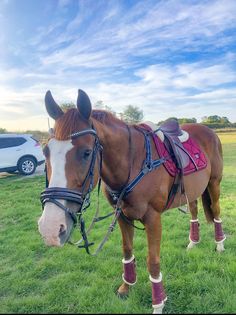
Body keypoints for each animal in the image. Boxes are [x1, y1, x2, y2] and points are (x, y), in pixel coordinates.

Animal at [37, 88, 226, 314]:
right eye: (46, 152)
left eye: (87, 152)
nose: (50, 228)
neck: (133, 162)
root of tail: (209, 131)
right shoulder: (122, 217)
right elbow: (127, 251)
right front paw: (126, 287)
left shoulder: (153, 219)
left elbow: (153, 261)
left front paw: (158, 303)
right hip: (192, 191)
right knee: (194, 212)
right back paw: (193, 243)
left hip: (214, 184)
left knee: (216, 211)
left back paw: (220, 245)